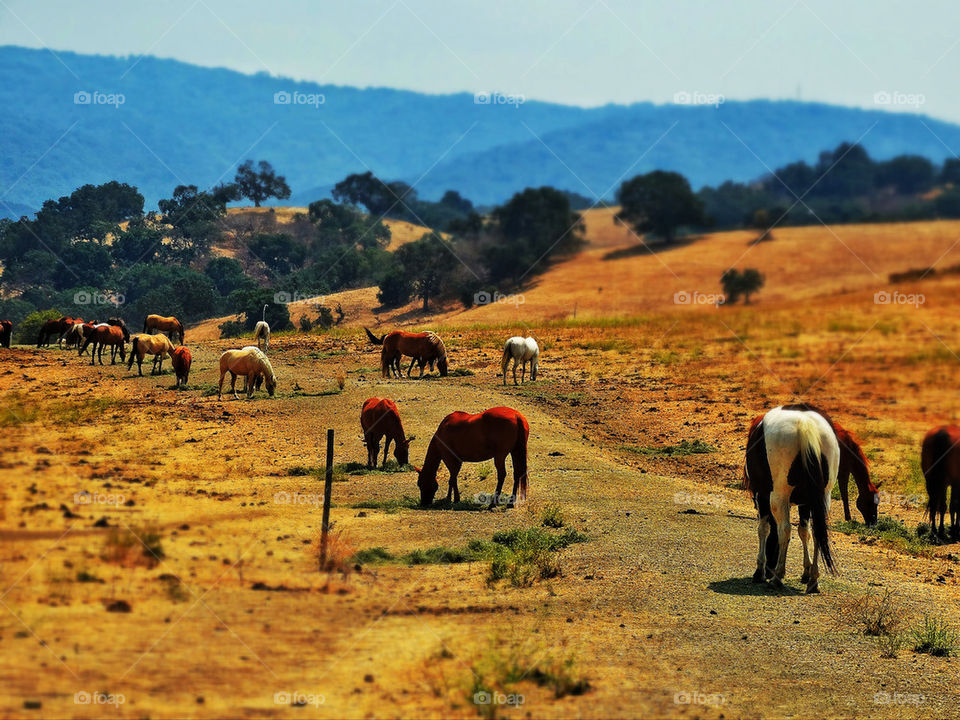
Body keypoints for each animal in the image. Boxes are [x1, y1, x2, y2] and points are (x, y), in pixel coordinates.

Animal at [744, 406, 839, 593]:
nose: (769, 570)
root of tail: (805, 424)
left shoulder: (762, 496)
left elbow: (764, 529)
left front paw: (760, 571)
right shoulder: (807, 503)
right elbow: (804, 532)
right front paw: (807, 572)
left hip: (778, 496)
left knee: (784, 530)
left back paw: (777, 577)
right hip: (824, 497)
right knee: (817, 532)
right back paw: (813, 580)